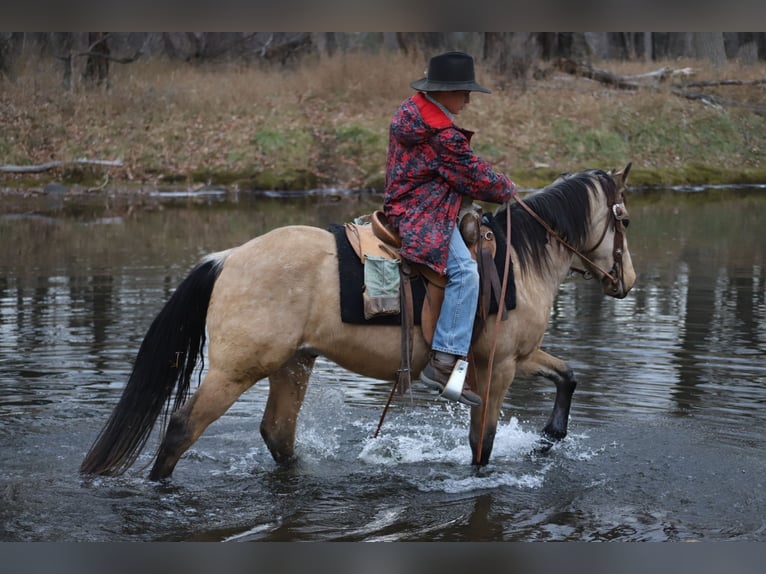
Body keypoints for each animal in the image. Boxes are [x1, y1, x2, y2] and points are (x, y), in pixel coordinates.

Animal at [81, 165, 640, 482]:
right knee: (181, 429)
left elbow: (568, 375)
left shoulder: (514, 357)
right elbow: (482, 443)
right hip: (236, 369)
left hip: (293, 364)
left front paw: (549, 438)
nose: (628, 281)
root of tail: (229, 257)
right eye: (626, 221)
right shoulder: (498, 366)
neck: (517, 262)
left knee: (277, 434)